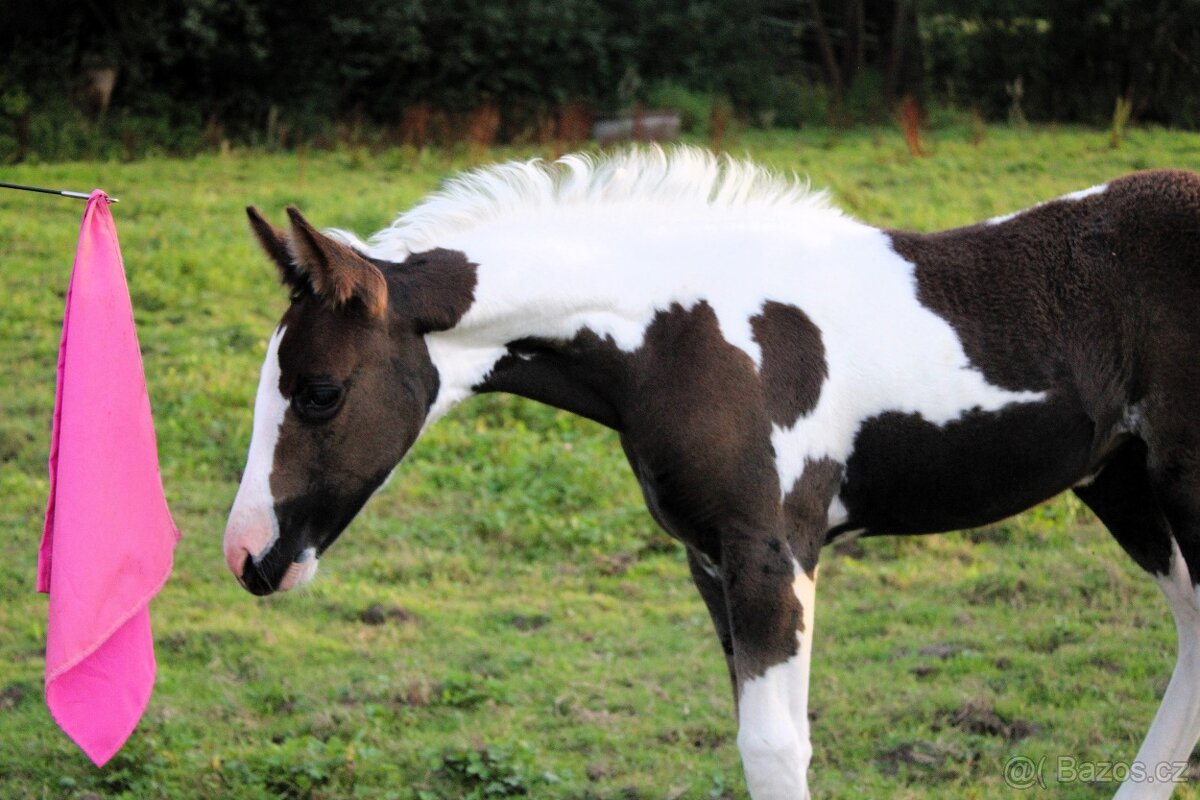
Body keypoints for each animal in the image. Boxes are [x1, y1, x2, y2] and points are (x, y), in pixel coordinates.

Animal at [224, 148, 1200, 799]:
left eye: (320, 392)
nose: (247, 557)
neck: (689, 334)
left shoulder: (773, 555)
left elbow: (776, 749)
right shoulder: (709, 560)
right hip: (1121, 485)